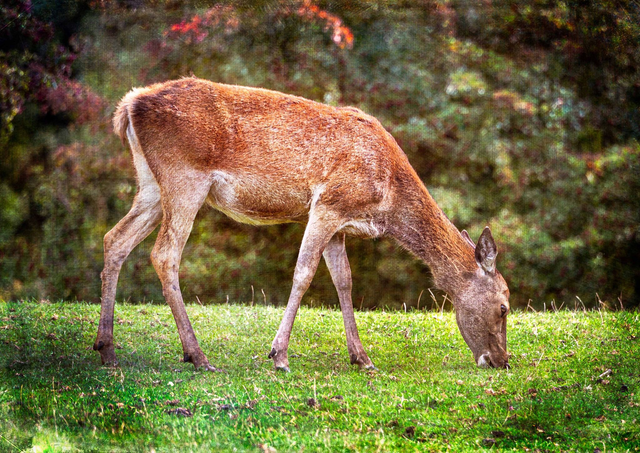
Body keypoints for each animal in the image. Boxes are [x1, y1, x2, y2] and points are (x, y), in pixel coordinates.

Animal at [94, 77, 510, 372]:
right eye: (505, 306)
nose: (502, 361)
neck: (387, 198)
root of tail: (128, 105)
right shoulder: (327, 204)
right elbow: (304, 273)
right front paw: (278, 354)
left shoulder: (340, 224)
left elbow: (344, 281)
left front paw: (362, 358)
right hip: (184, 177)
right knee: (164, 254)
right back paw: (196, 355)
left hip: (150, 183)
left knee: (115, 238)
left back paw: (106, 349)